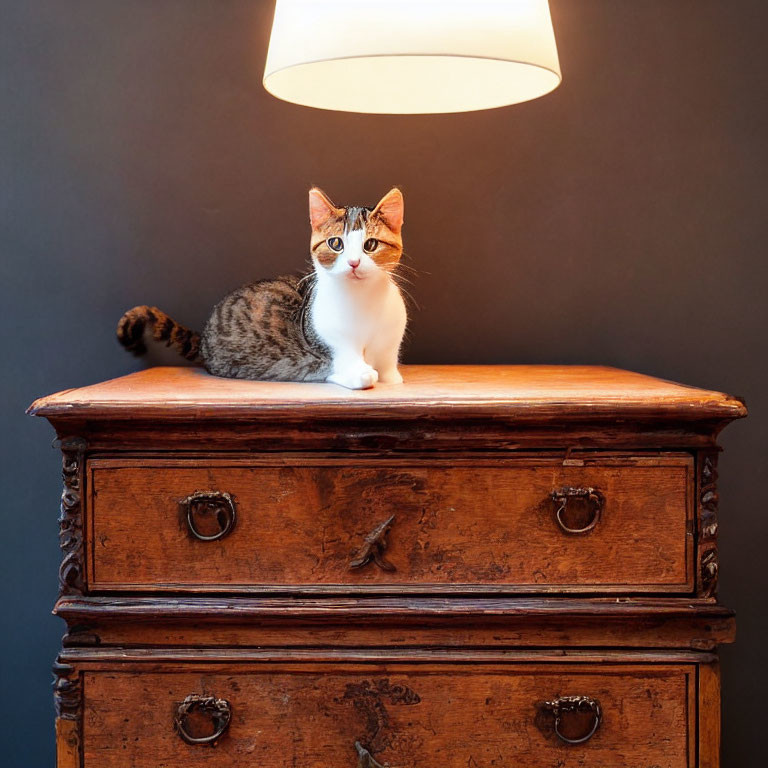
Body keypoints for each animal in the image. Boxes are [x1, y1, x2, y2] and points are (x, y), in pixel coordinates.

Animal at [115, 187, 408, 390]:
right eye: (336, 244)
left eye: (370, 245)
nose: (354, 262)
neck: (364, 300)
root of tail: (205, 341)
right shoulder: (323, 348)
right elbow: (346, 364)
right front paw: (360, 373)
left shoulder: (389, 343)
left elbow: (389, 367)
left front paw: (390, 377)